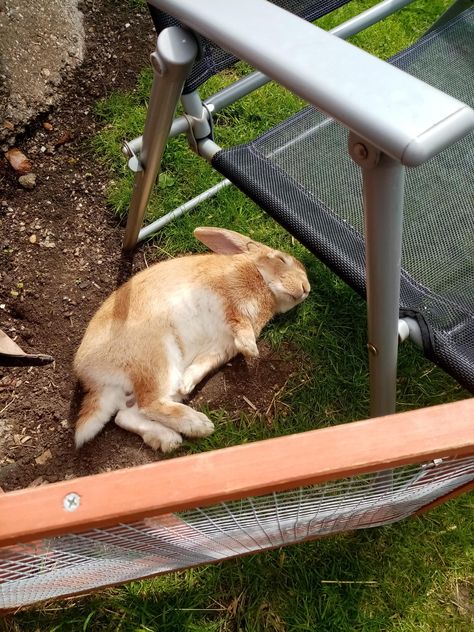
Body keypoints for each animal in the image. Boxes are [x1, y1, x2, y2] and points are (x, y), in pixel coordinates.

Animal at [73, 230, 312, 452]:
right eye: (281, 259)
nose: (306, 289)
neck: (262, 279)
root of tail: (95, 380)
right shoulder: (228, 297)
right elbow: (238, 318)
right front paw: (251, 348)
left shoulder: (221, 346)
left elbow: (204, 364)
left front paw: (187, 383)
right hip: (158, 356)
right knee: (149, 405)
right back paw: (198, 425)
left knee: (126, 414)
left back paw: (169, 438)